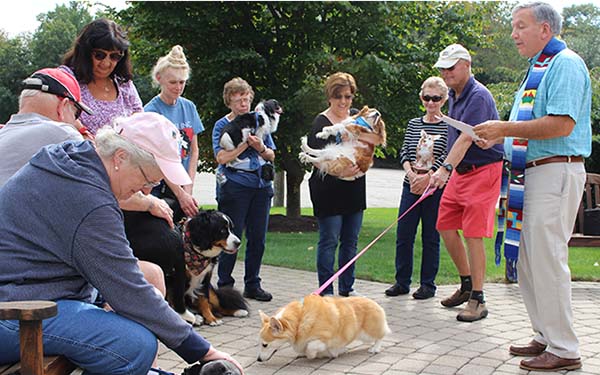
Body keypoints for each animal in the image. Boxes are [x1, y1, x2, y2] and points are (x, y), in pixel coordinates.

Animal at [256, 296, 390, 362]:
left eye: (265, 345)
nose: (258, 360)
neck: (299, 320)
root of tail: (376, 304)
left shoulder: (324, 339)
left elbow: (311, 347)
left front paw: (314, 355)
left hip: (367, 334)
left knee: (380, 336)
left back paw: (375, 349)